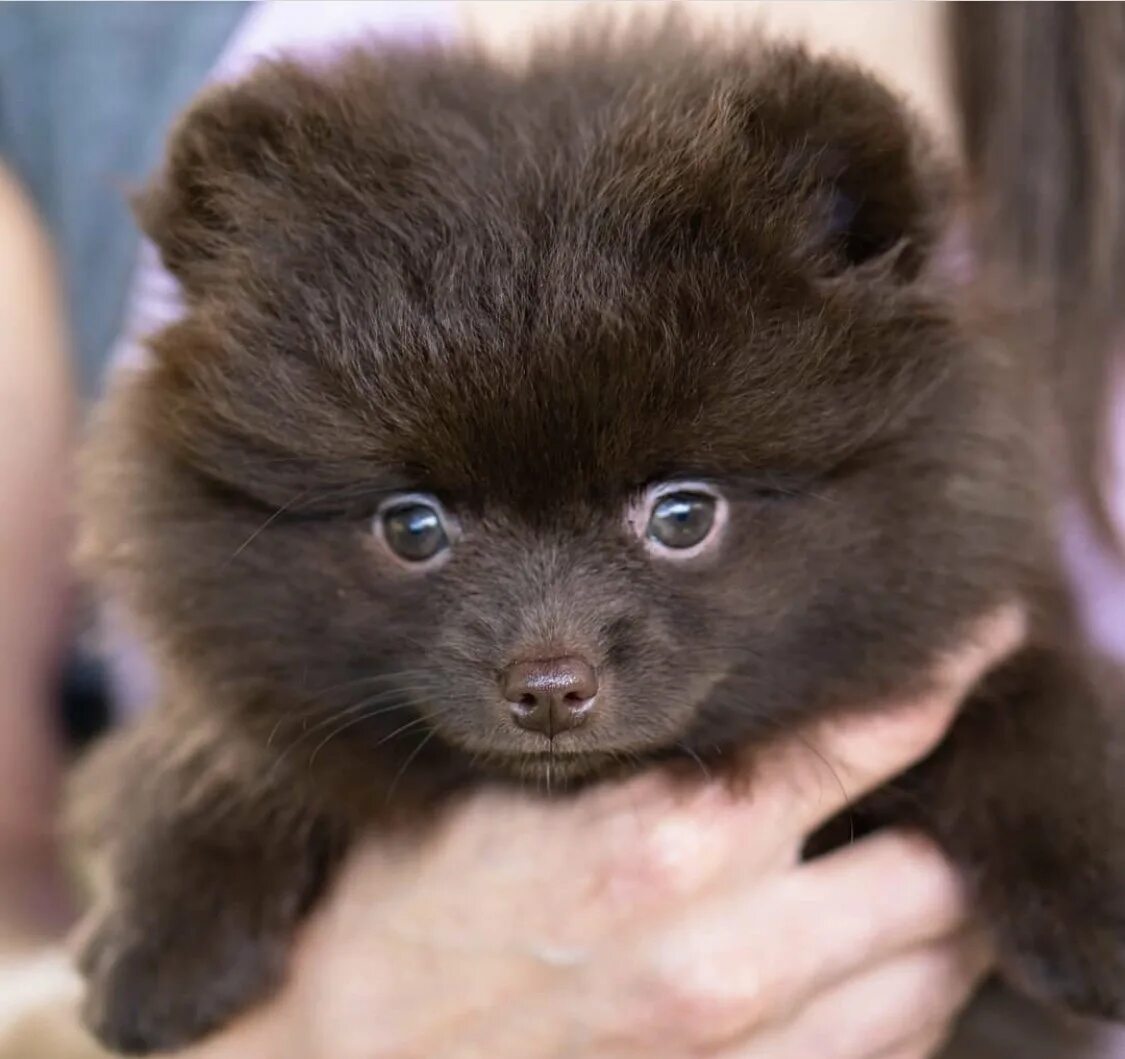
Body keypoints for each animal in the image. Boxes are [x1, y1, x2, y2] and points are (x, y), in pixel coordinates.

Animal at [72, 24, 1125, 1057]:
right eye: (412, 526)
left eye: (683, 516)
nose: (547, 685)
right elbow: (216, 738)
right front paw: (165, 926)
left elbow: (1032, 687)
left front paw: (1091, 889)